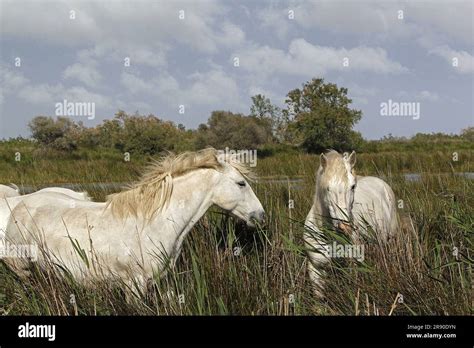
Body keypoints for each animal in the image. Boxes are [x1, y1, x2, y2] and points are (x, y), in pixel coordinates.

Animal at [1, 149, 264, 290]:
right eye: (241, 183)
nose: (260, 215)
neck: (152, 225)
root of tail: (17, 206)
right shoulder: (133, 285)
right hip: (23, 272)